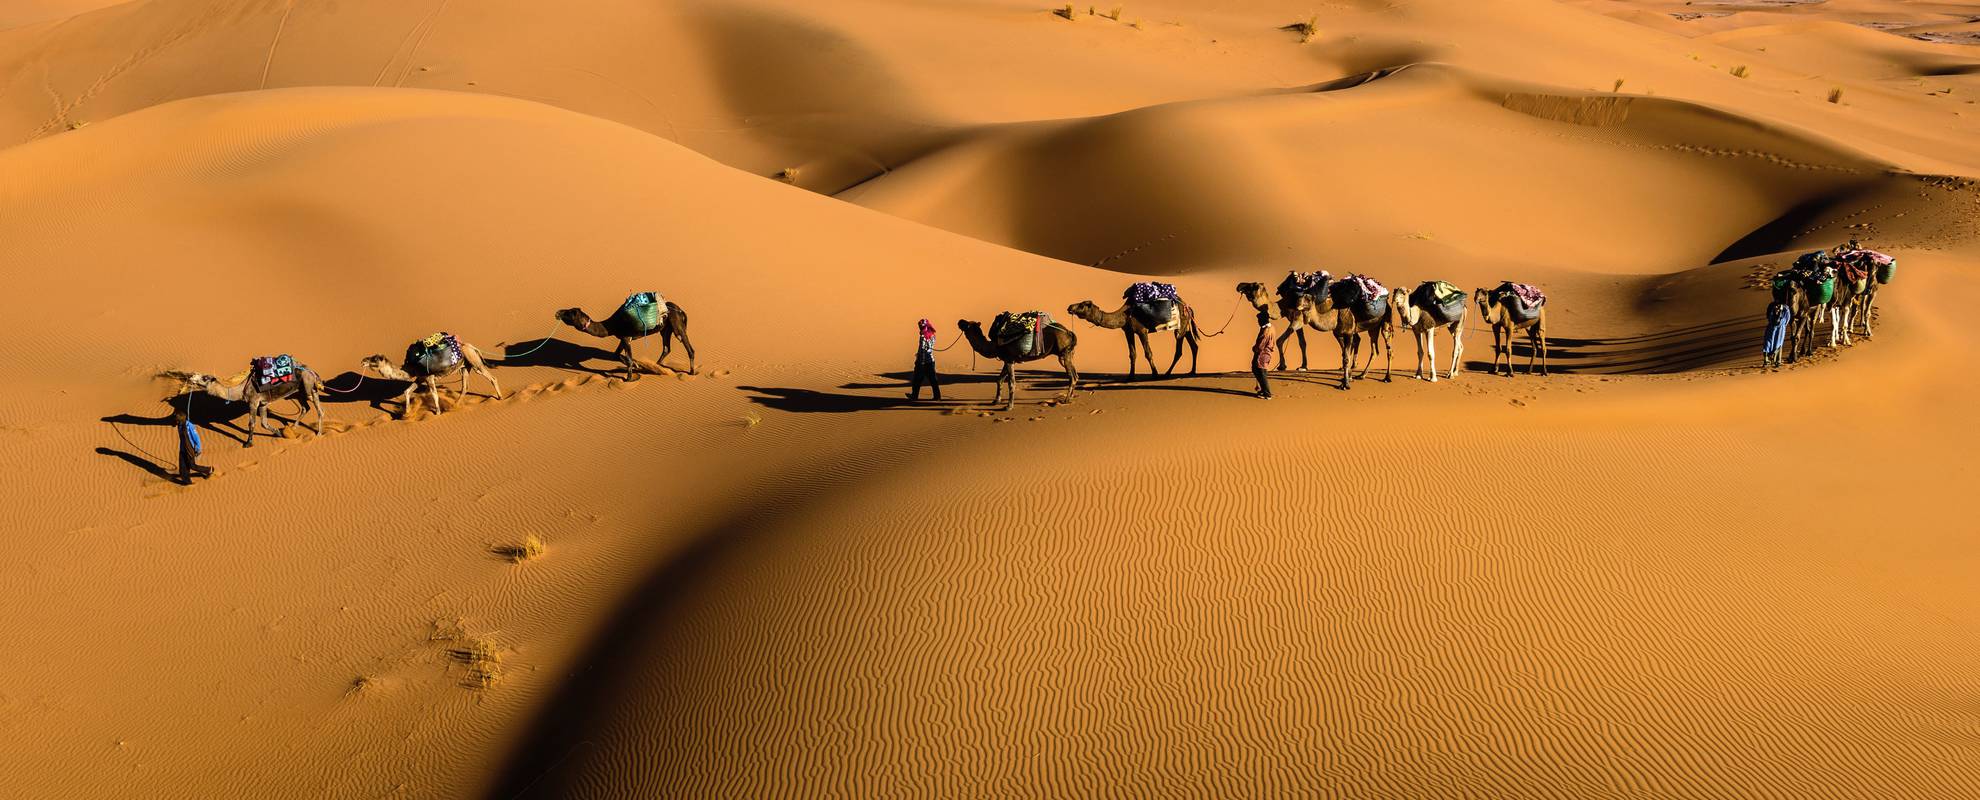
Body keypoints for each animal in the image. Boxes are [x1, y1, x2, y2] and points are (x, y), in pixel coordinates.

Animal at [164, 364, 326, 447]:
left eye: (205, 378)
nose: (191, 376)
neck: (241, 390)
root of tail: (312, 371)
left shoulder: (253, 402)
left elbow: (252, 423)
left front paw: (248, 443)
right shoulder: (263, 404)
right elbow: (264, 423)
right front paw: (279, 433)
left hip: (309, 387)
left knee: (319, 409)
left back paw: (318, 433)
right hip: (299, 391)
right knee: (305, 407)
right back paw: (294, 427)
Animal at [362, 332, 502, 417]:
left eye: (374, 359)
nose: (363, 360)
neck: (411, 367)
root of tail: (472, 346)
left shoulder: (429, 377)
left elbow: (434, 395)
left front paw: (438, 413)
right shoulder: (420, 378)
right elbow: (407, 391)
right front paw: (407, 414)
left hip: (474, 361)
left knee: (492, 378)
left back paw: (500, 397)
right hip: (465, 367)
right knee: (465, 387)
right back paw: (454, 406)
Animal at [550, 293, 696, 382]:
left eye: (569, 313)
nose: (557, 312)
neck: (611, 325)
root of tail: (681, 311)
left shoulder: (626, 337)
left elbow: (628, 359)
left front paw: (629, 379)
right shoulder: (623, 338)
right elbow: (616, 355)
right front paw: (637, 365)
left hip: (677, 326)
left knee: (689, 348)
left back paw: (691, 372)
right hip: (665, 329)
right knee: (666, 348)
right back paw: (657, 366)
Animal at [1069, 299, 1203, 376]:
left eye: (1082, 305)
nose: (1070, 307)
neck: (1124, 316)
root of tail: (1188, 307)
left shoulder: (1141, 331)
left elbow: (1148, 353)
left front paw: (1155, 373)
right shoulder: (1128, 332)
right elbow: (1132, 354)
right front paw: (1130, 376)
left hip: (1180, 327)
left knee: (1179, 350)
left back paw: (1167, 373)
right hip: (1186, 327)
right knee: (1194, 346)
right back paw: (1192, 372)